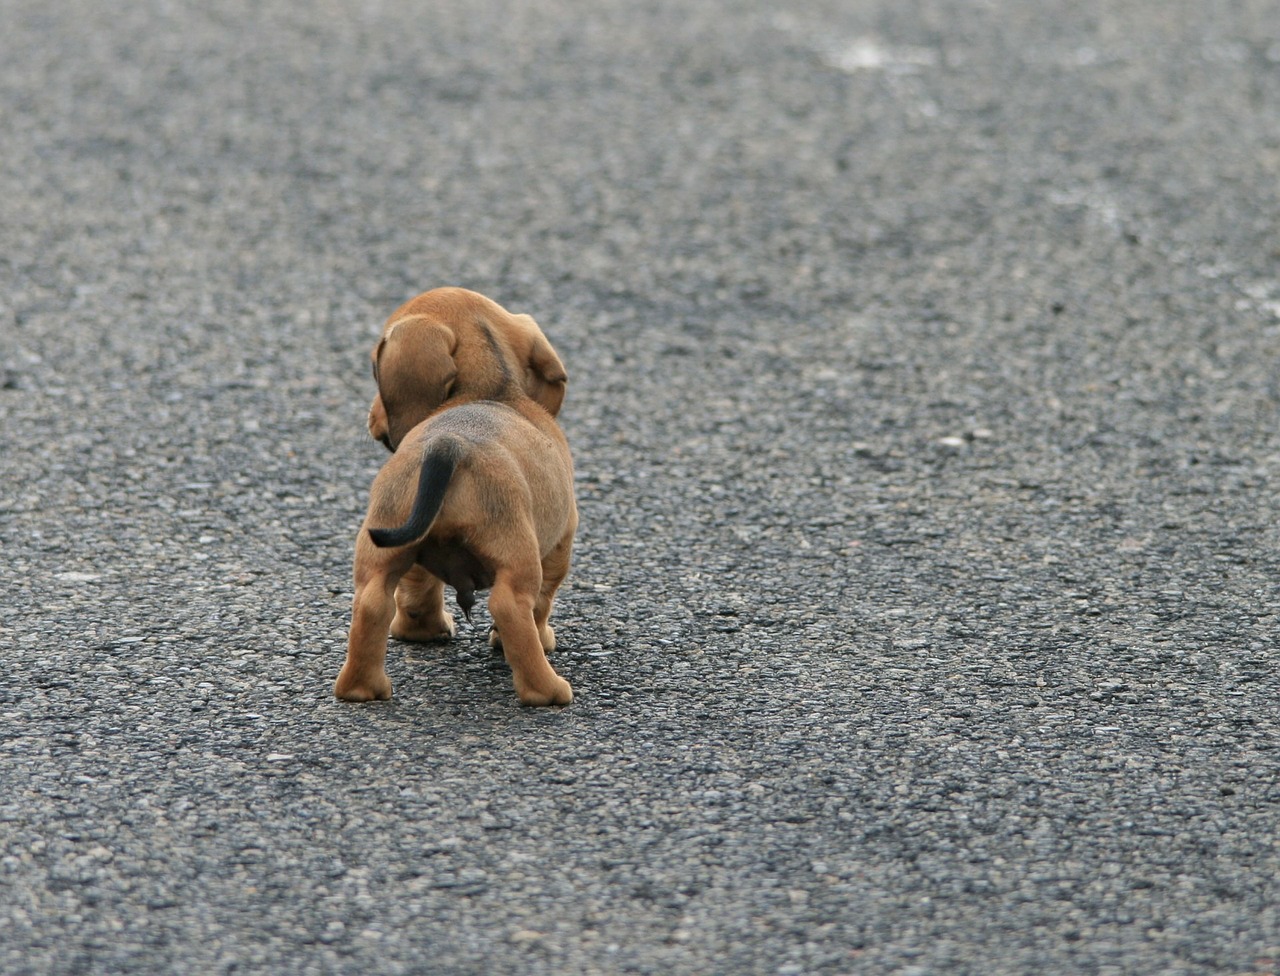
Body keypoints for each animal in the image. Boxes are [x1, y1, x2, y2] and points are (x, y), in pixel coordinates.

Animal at [340, 285, 581, 701]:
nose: (371, 417)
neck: (490, 390)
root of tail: (449, 445)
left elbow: (418, 589)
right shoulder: (560, 542)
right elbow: (543, 603)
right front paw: (542, 637)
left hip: (382, 545)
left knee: (372, 605)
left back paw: (361, 688)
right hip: (517, 555)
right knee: (512, 608)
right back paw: (548, 690)